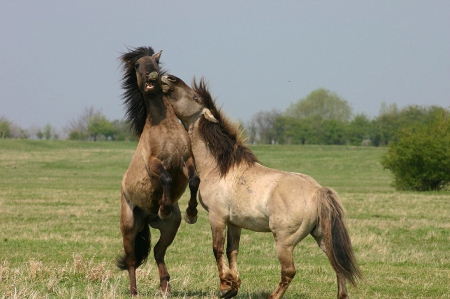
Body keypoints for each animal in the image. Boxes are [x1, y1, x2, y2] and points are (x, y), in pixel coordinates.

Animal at [117, 47, 200, 298]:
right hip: (129, 227)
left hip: (170, 227)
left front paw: (192, 213)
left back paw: (165, 286)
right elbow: (165, 177)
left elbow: (194, 180)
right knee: (132, 260)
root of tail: (148, 219)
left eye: (156, 61)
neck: (165, 129)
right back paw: (134, 291)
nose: (152, 76)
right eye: (137, 65)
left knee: (157, 252)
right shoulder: (154, 163)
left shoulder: (186, 160)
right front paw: (163, 206)